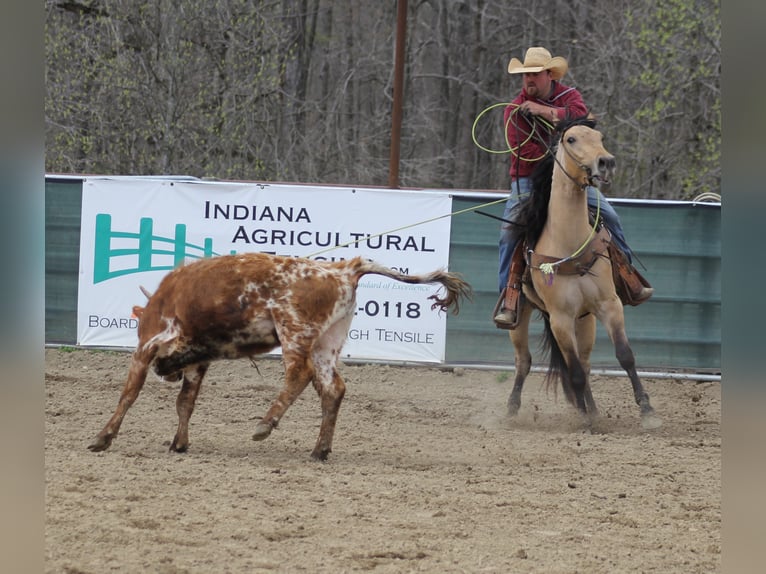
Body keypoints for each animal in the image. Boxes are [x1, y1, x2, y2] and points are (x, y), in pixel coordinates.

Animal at [87, 254, 472, 462]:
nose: (165, 371)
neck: (166, 299)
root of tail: (343, 269)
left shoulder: (148, 345)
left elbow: (129, 394)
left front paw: (103, 437)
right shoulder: (198, 361)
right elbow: (186, 402)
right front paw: (179, 443)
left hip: (294, 332)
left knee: (298, 374)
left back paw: (265, 424)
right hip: (327, 342)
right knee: (332, 388)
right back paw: (319, 450)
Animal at [508, 117, 664, 430]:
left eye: (600, 137)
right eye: (571, 139)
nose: (606, 162)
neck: (569, 242)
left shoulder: (609, 305)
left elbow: (625, 356)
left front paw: (647, 410)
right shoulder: (560, 318)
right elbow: (574, 372)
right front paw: (586, 420)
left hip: (586, 319)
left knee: (585, 361)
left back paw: (589, 407)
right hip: (523, 316)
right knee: (525, 361)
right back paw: (513, 408)